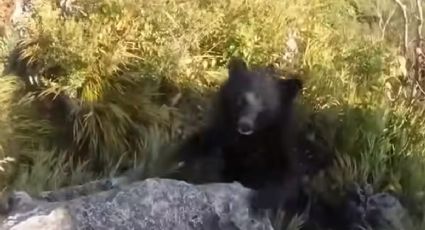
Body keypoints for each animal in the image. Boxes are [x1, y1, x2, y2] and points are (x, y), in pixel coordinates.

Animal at [174, 57, 304, 214]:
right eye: (241, 99)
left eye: (265, 106)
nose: (245, 125)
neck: (248, 140)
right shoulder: (219, 135)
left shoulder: (279, 145)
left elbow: (286, 178)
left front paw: (262, 200)